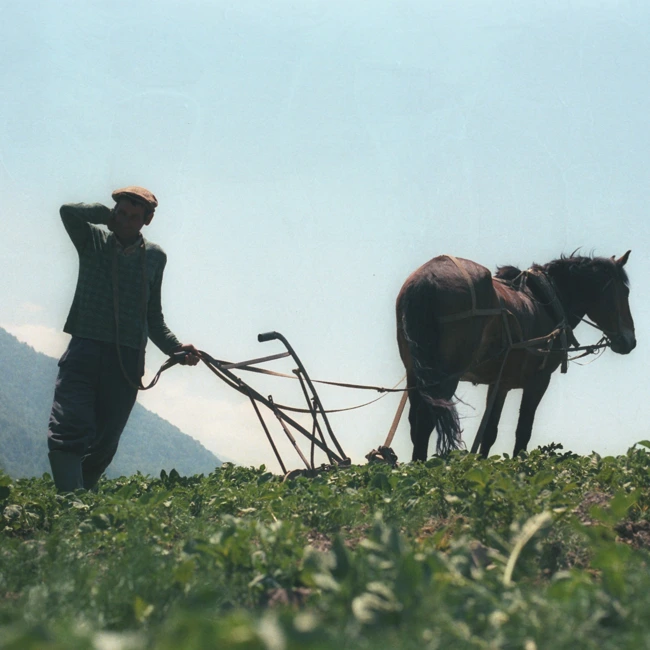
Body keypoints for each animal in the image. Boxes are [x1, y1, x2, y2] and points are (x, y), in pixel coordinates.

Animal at [394, 251, 632, 458]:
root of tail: (426, 280)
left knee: (416, 423)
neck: (548, 302)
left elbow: (489, 432)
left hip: (415, 374)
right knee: (425, 421)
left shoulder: (500, 384)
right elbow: (523, 431)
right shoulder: (539, 381)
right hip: (446, 376)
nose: (630, 340)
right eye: (625, 292)